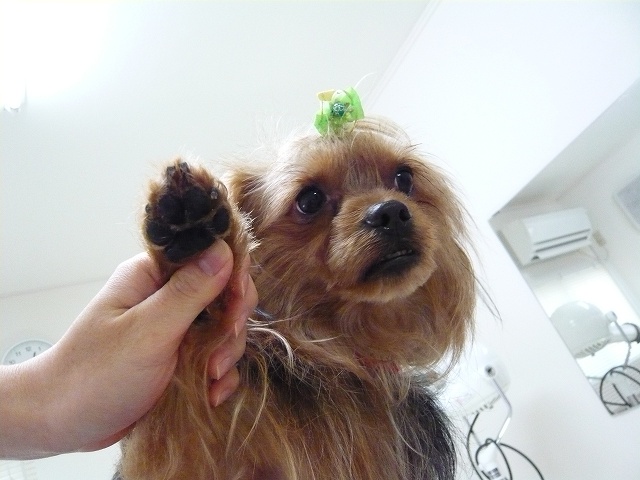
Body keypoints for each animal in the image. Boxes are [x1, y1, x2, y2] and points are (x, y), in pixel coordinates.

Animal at [117, 108, 476, 479]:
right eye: (309, 200)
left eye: (404, 178)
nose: (390, 211)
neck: (340, 348)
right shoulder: (192, 451)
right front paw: (194, 241)